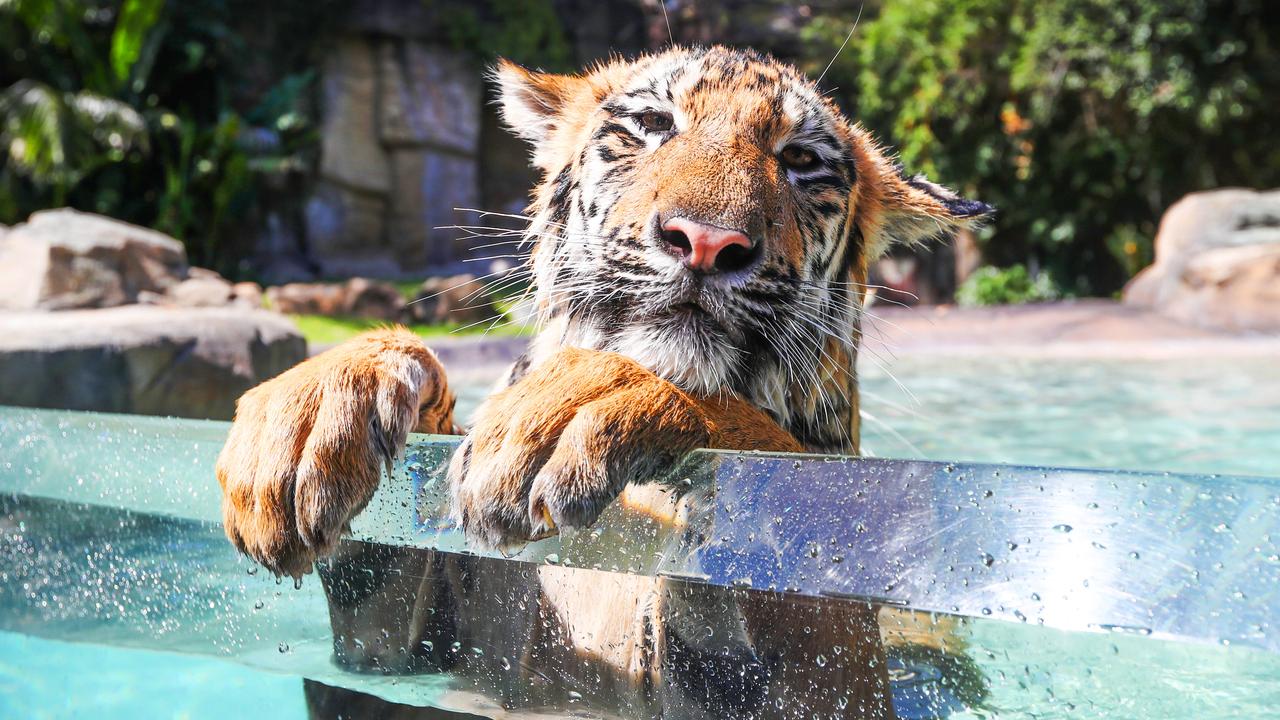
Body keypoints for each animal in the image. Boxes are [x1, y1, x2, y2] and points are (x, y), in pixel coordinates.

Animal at [215, 44, 988, 717]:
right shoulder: (399, 650)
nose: (707, 241)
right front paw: (303, 418)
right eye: (652, 126)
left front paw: (572, 405)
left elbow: (779, 479)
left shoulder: (835, 678)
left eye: (800, 161)